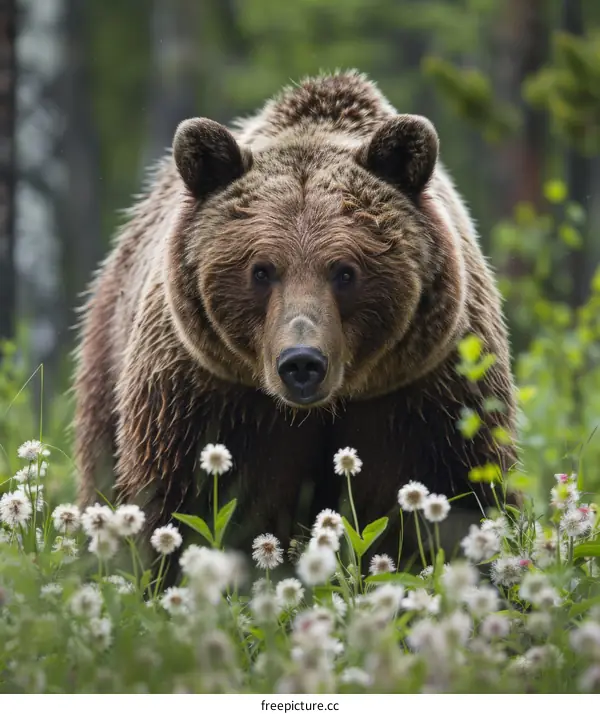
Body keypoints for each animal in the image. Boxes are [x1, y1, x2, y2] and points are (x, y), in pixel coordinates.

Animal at [73, 70, 517, 559]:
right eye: (261, 270)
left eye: (345, 271)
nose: (302, 362)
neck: (323, 407)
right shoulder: (206, 395)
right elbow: (182, 502)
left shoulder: (428, 394)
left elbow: (456, 494)